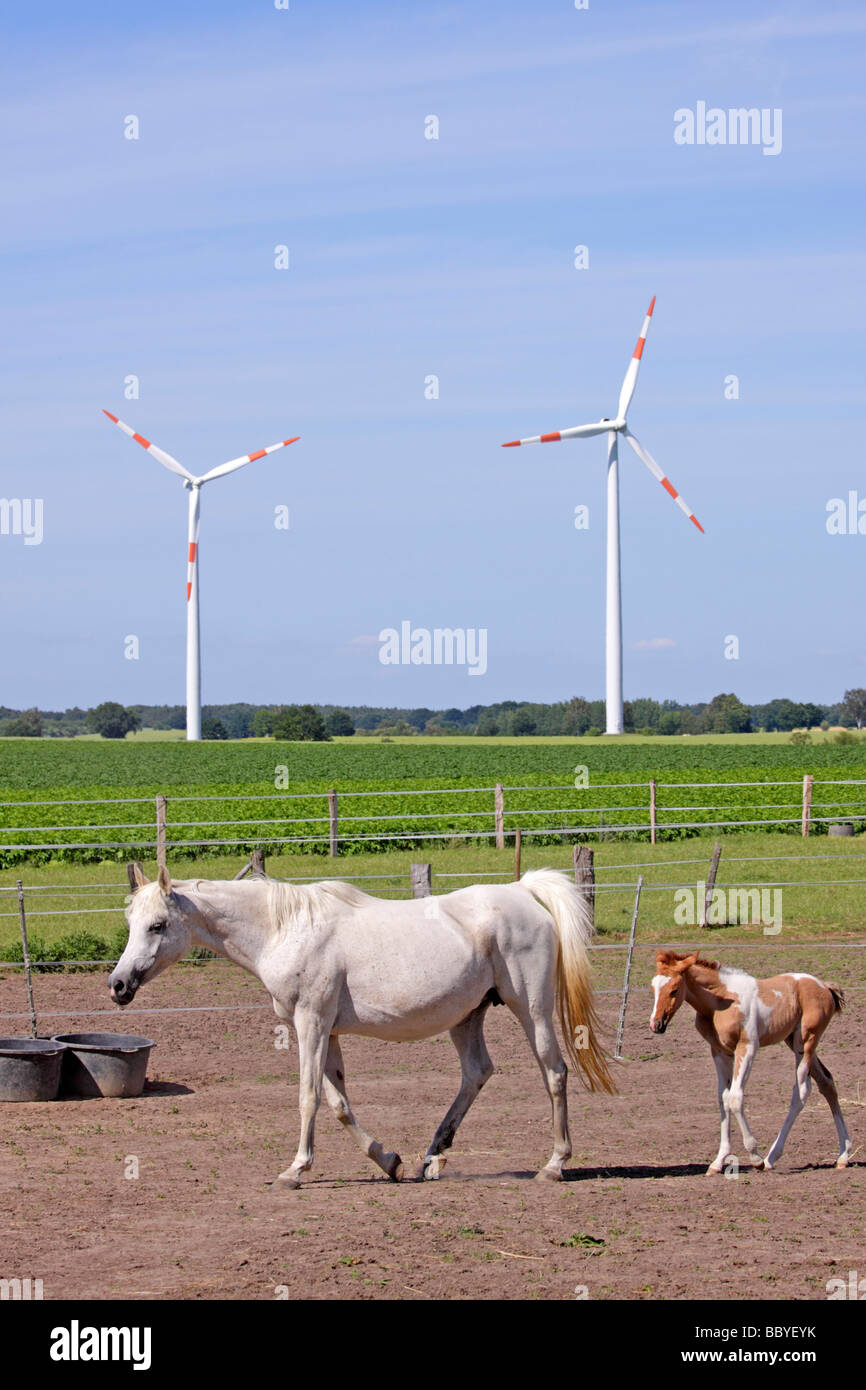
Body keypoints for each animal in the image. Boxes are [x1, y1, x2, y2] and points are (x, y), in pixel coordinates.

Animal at [111, 861, 614, 1189]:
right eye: (132, 921)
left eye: (158, 925)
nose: (118, 985)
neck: (285, 930)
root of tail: (523, 891)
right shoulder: (326, 1031)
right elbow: (338, 1103)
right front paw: (389, 1161)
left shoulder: (310, 1022)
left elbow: (309, 1096)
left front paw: (295, 1170)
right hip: (467, 1017)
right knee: (477, 1073)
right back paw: (432, 1157)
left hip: (531, 1010)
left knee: (554, 1072)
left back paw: (553, 1165)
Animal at [650, 950, 856, 1167]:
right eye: (653, 987)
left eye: (674, 990)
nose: (656, 1024)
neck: (721, 1002)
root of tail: (824, 986)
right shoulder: (719, 1051)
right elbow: (723, 1098)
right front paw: (719, 1160)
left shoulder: (747, 1047)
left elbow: (735, 1097)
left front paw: (754, 1155)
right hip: (794, 1041)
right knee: (827, 1083)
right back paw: (843, 1154)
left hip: (806, 1041)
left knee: (801, 1092)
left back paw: (771, 1157)